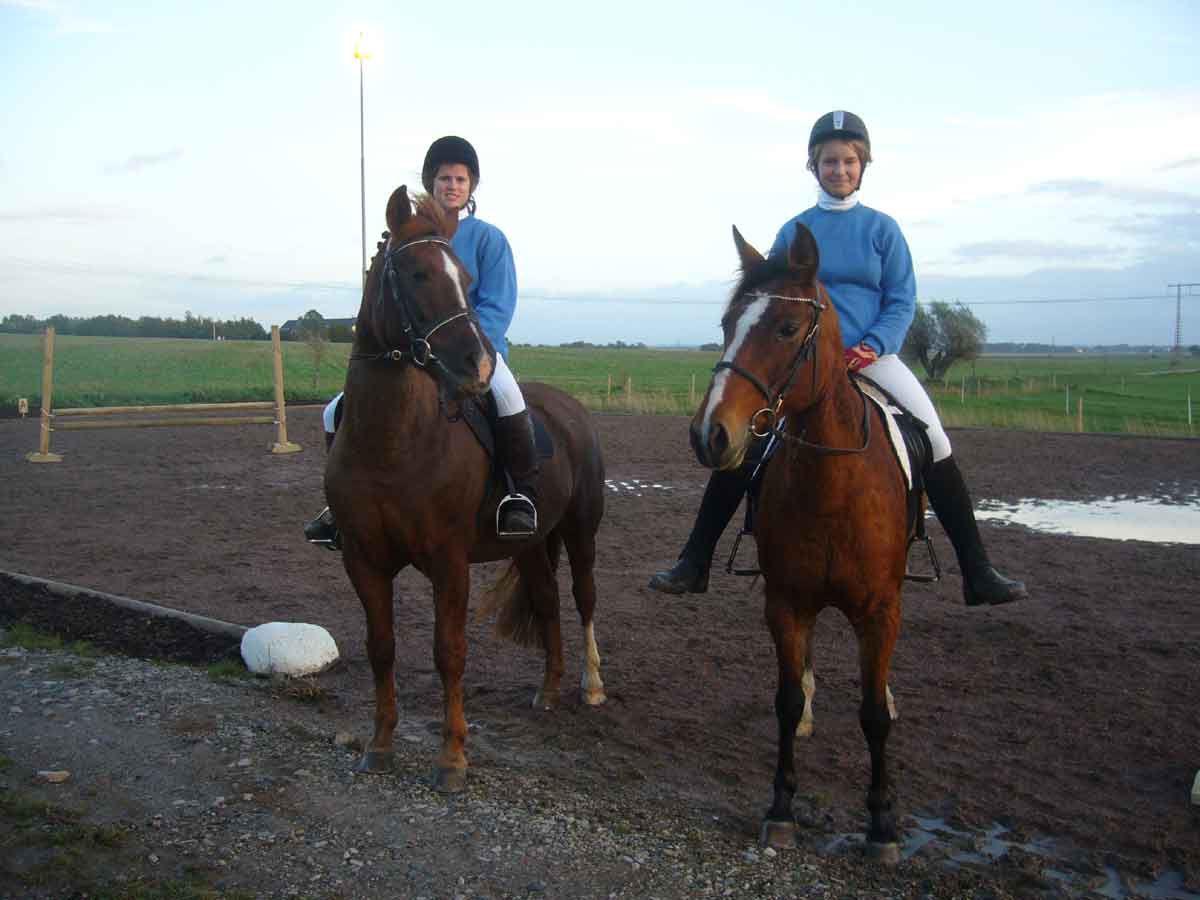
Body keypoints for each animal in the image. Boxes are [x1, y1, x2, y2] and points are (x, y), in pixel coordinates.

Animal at [324, 186, 608, 792]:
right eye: (415, 273)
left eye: (466, 276)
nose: (478, 364)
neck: (392, 442)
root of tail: (569, 408)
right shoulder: (363, 559)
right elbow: (381, 649)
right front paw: (380, 746)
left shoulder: (448, 560)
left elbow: (448, 653)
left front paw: (452, 757)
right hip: (530, 545)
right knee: (548, 603)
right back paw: (549, 690)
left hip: (580, 532)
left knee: (583, 599)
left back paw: (592, 686)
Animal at [690, 223, 912, 863]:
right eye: (726, 324)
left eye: (787, 328)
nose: (710, 433)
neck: (832, 487)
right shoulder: (786, 604)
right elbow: (786, 701)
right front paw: (782, 809)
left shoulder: (879, 612)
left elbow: (873, 715)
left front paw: (882, 825)